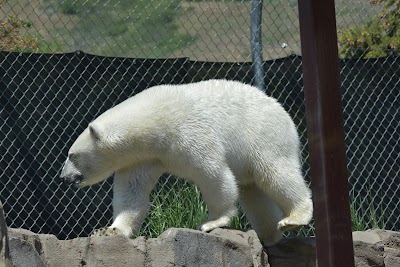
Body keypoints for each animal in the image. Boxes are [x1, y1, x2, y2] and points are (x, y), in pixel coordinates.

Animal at [61, 79, 314, 247]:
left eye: (72, 155)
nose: (64, 177)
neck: (154, 121)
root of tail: (279, 107)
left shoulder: (188, 131)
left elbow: (213, 172)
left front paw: (212, 222)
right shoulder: (143, 157)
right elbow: (132, 192)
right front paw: (110, 230)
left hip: (264, 134)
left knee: (276, 173)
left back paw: (293, 218)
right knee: (254, 194)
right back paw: (267, 235)